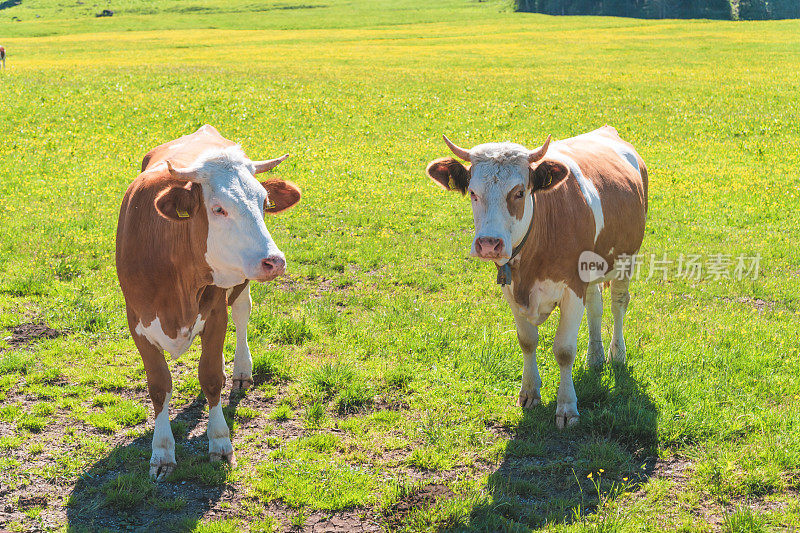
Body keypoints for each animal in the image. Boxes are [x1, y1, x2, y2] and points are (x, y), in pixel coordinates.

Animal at [114, 123, 298, 478]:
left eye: (263, 202)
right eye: (218, 208)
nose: (275, 261)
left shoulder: (214, 314)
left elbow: (211, 377)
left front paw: (220, 443)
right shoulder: (137, 322)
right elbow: (159, 385)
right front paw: (161, 452)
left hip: (239, 282)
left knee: (241, 314)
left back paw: (240, 369)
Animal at [428, 125, 648, 428]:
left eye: (519, 192)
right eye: (472, 192)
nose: (488, 244)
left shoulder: (572, 288)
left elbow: (564, 350)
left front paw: (567, 407)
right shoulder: (511, 288)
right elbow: (527, 341)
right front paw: (529, 393)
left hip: (627, 258)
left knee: (618, 304)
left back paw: (617, 354)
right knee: (596, 307)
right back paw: (595, 357)